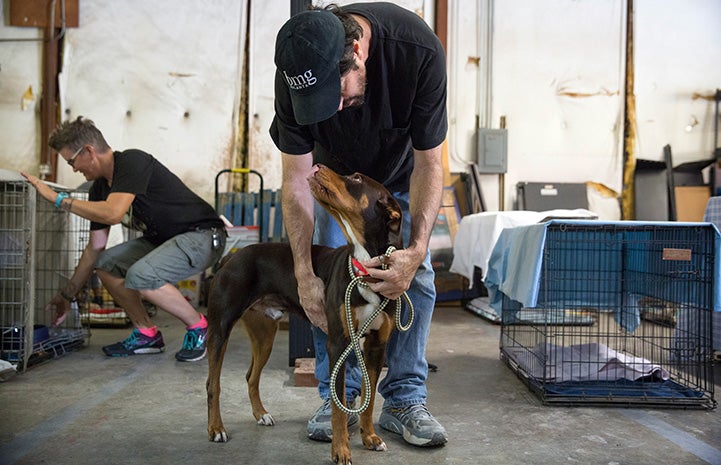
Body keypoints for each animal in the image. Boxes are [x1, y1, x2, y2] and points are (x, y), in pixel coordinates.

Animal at [207, 163, 404, 464]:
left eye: (357, 178)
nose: (317, 166)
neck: (365, 268)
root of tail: (231, 257)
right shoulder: (338, 342)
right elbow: (338, 405)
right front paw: (341, 450)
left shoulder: (376, 346)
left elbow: (369, 400)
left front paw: (369, 438)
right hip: (220, 328)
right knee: (213, 384)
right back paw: (216, 429)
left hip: (265, 334)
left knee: (251, 376)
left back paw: (261, 414)